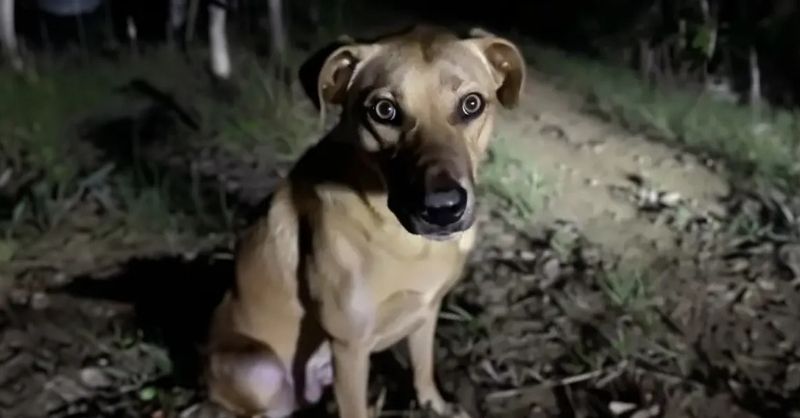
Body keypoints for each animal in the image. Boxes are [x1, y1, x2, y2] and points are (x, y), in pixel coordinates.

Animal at [204, 24, 526, 418]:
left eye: (472, 104)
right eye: (384, 110)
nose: (443, 209)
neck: (409, 244)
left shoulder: (426, 313)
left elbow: (423, 369)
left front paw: (434, 404)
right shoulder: (349, 346)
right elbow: (356, 406)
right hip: (259, 370)